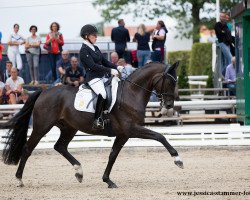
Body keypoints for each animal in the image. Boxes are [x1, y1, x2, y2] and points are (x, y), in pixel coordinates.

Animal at [0, 61, 183, 188]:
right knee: (27, 149)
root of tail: (43, 92)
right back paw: (19, 179)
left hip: (69, 128)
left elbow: (113, 155)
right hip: (42, 127)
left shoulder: (123, 134)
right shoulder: (131, 129)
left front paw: (108, 180)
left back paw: (79, 172)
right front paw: (177, 159)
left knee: (60, 147)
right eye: (171, 82)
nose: (169, 105)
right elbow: (160, 136)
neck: (132, 92)